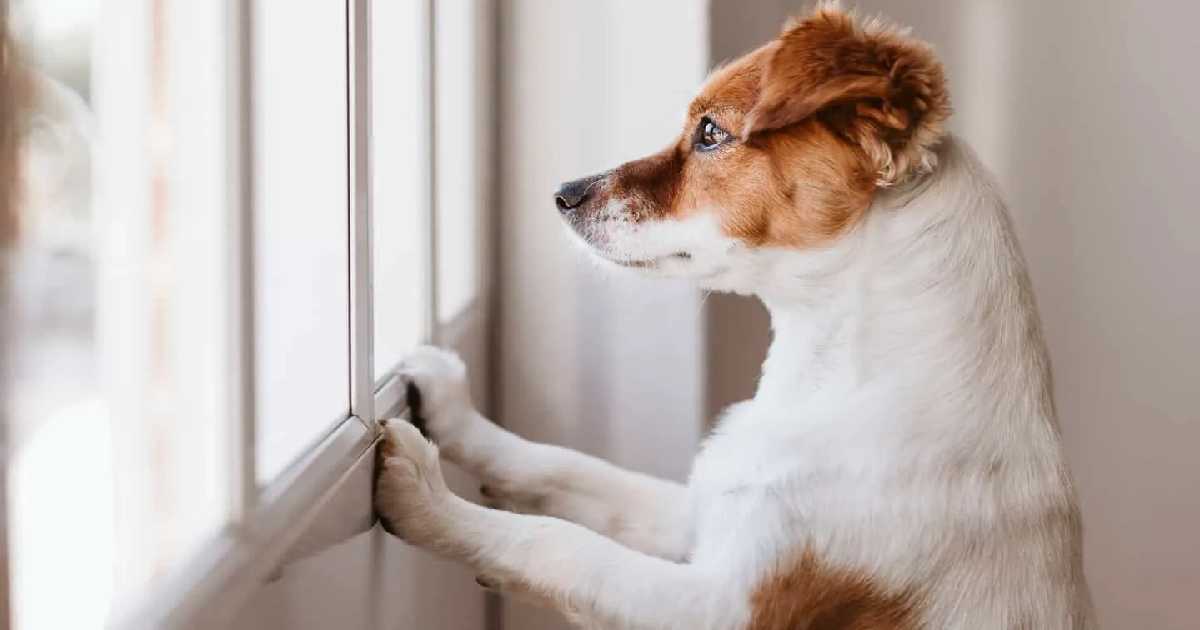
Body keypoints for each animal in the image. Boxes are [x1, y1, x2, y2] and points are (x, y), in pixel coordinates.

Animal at [374, 6, 1099, 628]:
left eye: (711, 133)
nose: (563, 194)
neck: (834, 382)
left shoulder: (724, 605)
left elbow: (561, 546)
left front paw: (429, 499)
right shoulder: (701, 514)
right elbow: (564, 468)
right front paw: (453, 409)